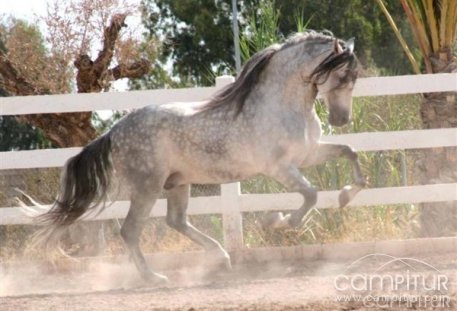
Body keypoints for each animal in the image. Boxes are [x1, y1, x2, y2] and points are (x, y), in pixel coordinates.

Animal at [35, 32, 366, 286]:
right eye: (342, 75)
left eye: (355, 77)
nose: (341, 119)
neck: (281, 105)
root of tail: (114, 131)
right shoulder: (279, 167)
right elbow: (311, 194)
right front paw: (279, 222)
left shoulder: (308, 153)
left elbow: (349, 150)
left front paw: (346, 196)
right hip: (147, 188)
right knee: (130, 231)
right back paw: (155, 278)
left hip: (177, 184)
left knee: (176, 221)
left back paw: (221, 257)